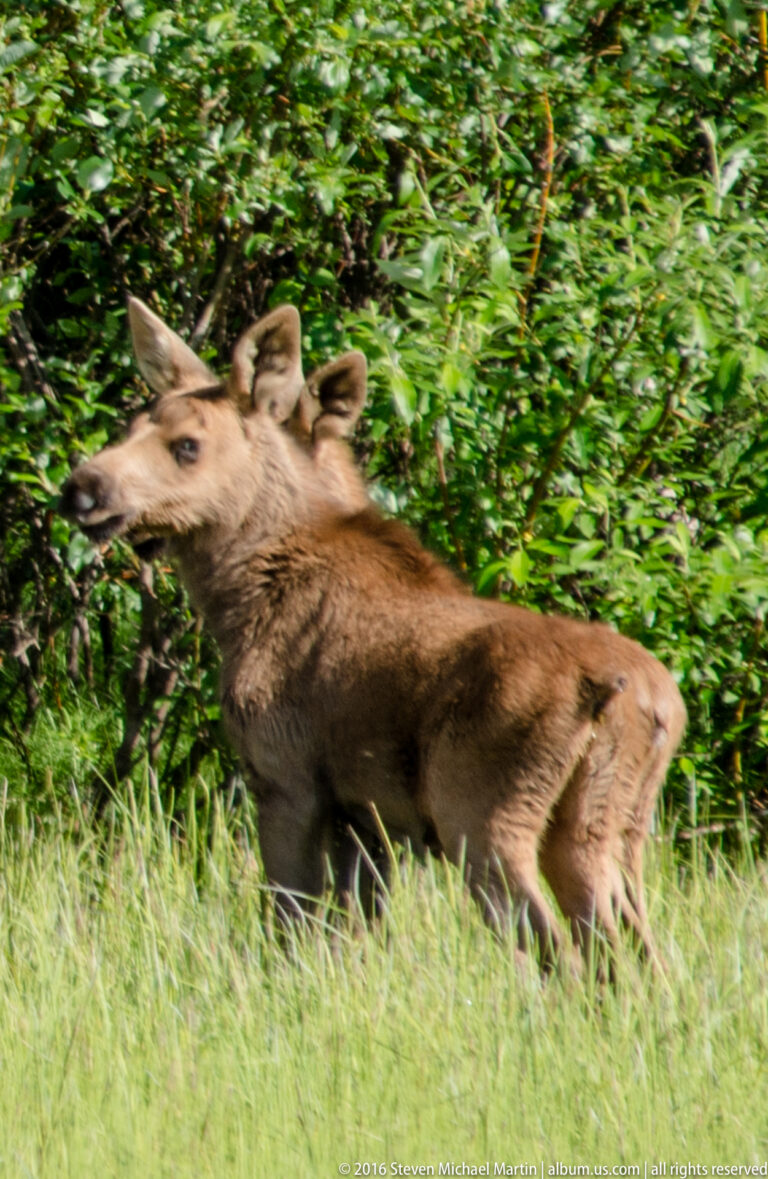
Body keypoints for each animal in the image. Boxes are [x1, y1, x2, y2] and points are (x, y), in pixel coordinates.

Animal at [60, 296, 686, 972]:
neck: (237, 605)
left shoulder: (286, 774)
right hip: (607, 827)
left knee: (554, 949)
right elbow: (352, 930)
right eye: (129, 426)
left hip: (483, 812)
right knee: (634, 955)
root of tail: (636, 698)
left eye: (187, 445)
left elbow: (288, 917)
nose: (82, 488)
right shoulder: (365, 816)